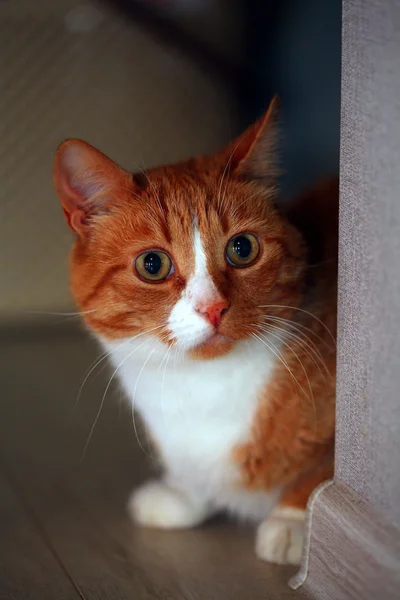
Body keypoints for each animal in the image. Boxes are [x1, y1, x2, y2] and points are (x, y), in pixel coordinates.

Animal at [51, 96, 336, 564]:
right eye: (152, 264)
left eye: (242, 248)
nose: (213, 308)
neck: (202, 387)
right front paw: (182, 495)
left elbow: (321, 471)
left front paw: (295, 522)